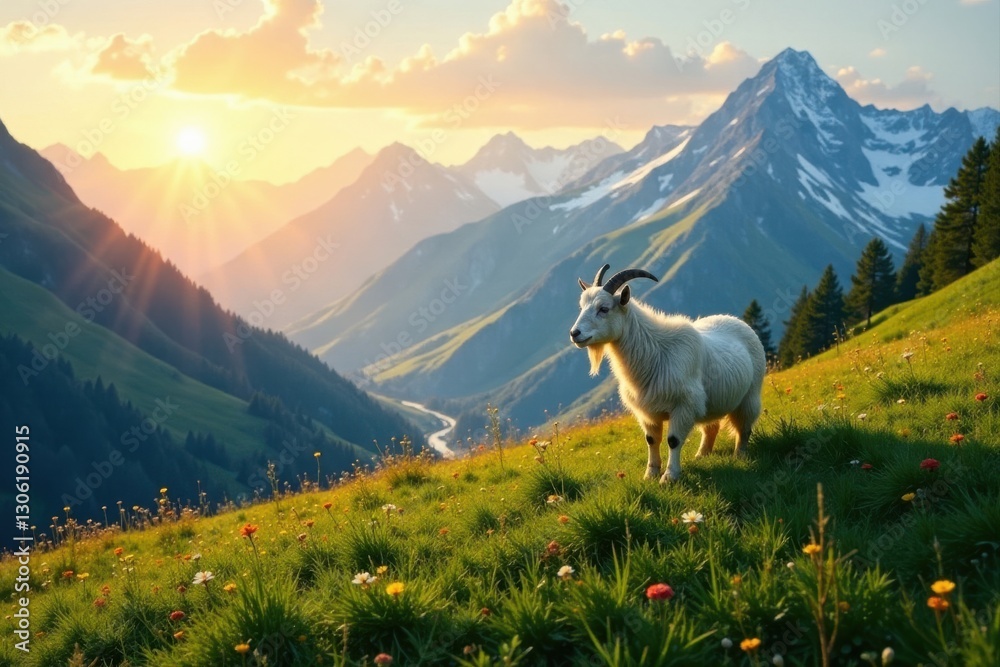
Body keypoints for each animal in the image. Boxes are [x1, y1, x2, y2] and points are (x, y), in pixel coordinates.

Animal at [569, 264, 766, 482]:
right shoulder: (647, 412)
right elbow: (651, 440)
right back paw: (702, 455)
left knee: (744, 428)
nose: (574, 334)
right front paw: (651, 474)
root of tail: (736, 321)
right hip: (711, 404)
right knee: (711, 427)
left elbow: (673, 440)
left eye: (603, 309)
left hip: (749, 396)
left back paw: (740, 455)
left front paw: (669, 477)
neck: (656, 351)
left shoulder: (684, 405)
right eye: (581, 307)